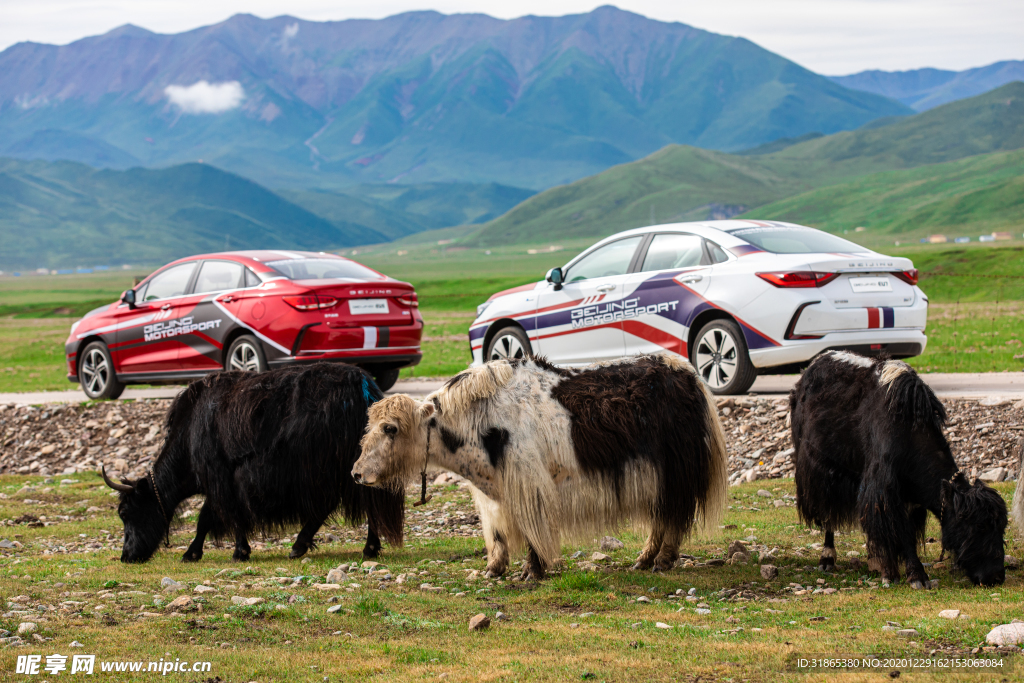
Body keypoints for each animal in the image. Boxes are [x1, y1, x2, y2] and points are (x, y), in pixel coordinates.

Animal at [103, 366, 403, 565]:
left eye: (125, 513)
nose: (126, 556)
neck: (189, 434)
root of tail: (365, 387)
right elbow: (213, 515)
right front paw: (202, 552)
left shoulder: (219, 476)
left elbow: (214, 516)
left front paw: (223, 552)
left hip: (328, 466)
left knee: (344, 502)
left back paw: (353, 547)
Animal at [790, 352, 1007, 589]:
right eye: (979, 526)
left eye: (1001, 526)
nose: (996, 577)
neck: (911, 433)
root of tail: (810, 368)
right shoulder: (886, 489)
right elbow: (900, 531)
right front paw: (912, 576)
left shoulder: (909, 497)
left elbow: (905, 532)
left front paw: (895, 568)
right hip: (817, 470)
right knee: (828, 513)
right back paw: (827, 559)